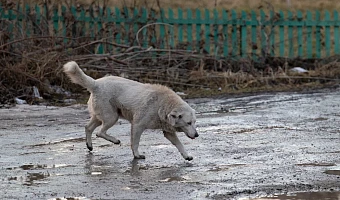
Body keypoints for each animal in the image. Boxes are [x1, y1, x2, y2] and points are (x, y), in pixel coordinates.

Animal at [62, 61, 198, 160]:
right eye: (188, 123)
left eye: (194, 122)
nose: (197, 135)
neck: (162, 104)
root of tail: (96, 83)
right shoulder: (137, 125)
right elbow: (135, 143)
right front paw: (137, 155)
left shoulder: (168, 132)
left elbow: (179, 144)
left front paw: (187, 156)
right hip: (112, 117)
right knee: (100, 132)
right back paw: (115, 140)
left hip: (101, 117)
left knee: (88, 128)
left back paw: (89, 145)